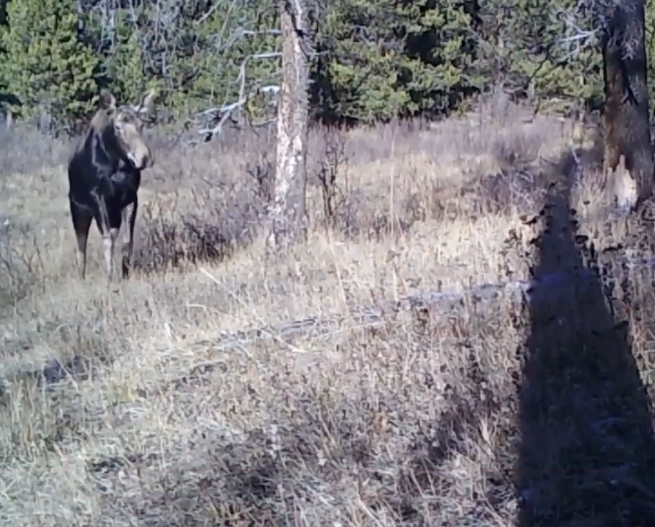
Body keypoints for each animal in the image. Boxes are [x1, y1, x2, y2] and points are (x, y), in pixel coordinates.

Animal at [67, 90, 156, 280]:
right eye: (117, 127)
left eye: (141, 124)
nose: (144, 157)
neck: (116, 163)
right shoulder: (97, 197)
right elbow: (106, 239)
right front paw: (110, 277)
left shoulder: (130, 197)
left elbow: (127, 240)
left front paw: (125, 273)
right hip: (79, 210)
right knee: (81, 246)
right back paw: (81, 276)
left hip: (114, 213)